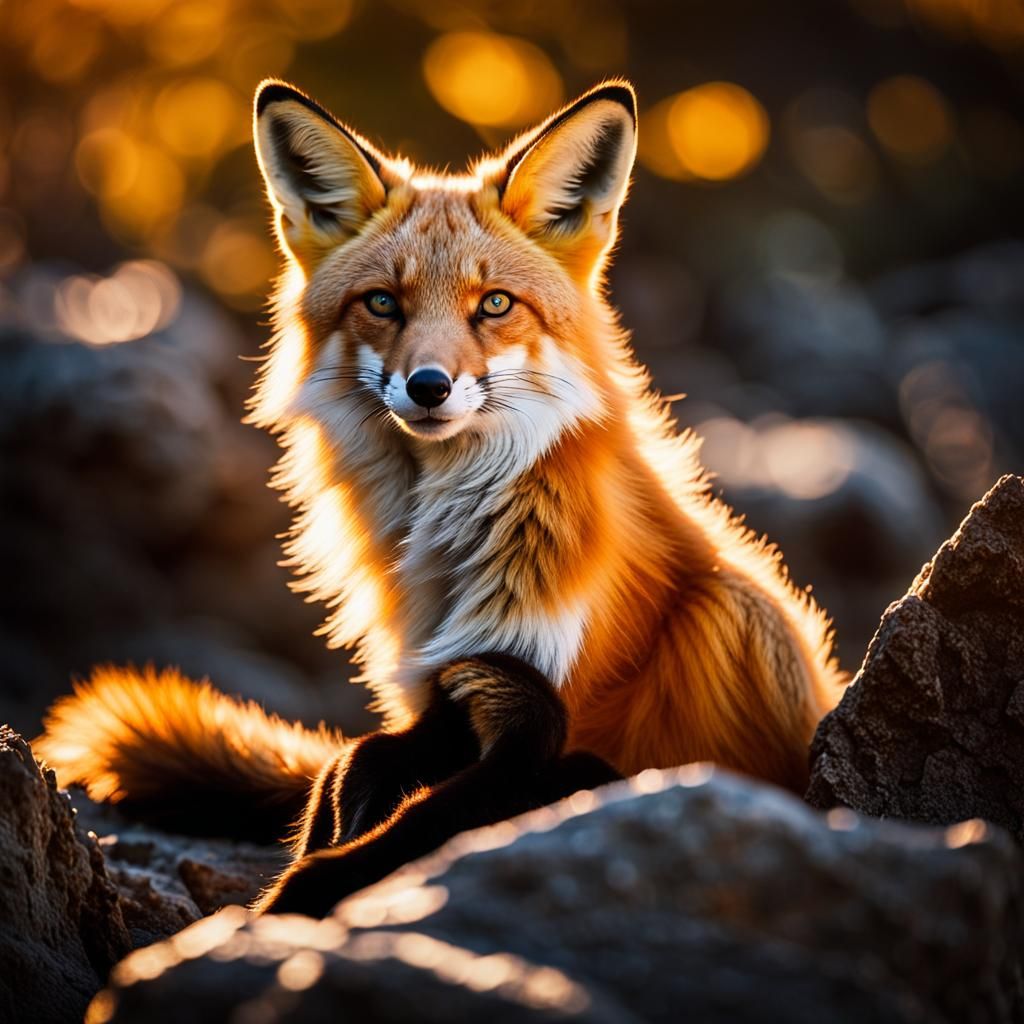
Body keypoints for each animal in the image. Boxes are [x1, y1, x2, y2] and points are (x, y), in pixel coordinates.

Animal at [37, 79, 847, 916]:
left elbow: (441, 807)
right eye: (382, 304)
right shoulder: (443, 693)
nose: (428, 386)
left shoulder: (534, 686)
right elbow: (358, 766)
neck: (452, 533)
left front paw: (296, 897)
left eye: (493, 305)